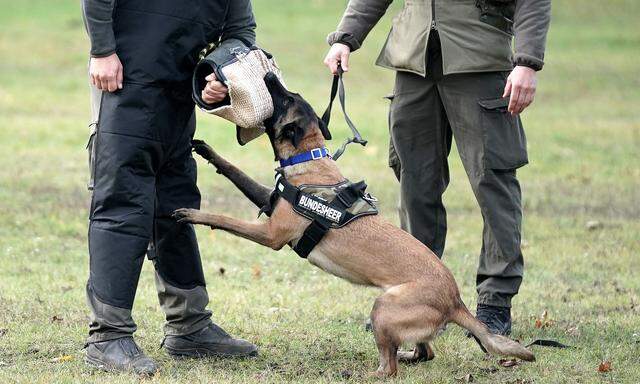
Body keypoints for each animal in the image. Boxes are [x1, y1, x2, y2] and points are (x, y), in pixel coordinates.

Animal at [171, 73, 536, 378]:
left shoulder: (271, 234)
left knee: (389, 369)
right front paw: (207, 151)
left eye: (285, 99)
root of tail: (455, 301)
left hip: (383, 308)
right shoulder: (268, 200)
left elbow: (225, 219)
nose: (269, 74)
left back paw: (363, 373)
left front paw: (192, 214)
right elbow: (236, 171)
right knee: (425, 352)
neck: (308, 157)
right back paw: (407, 355)